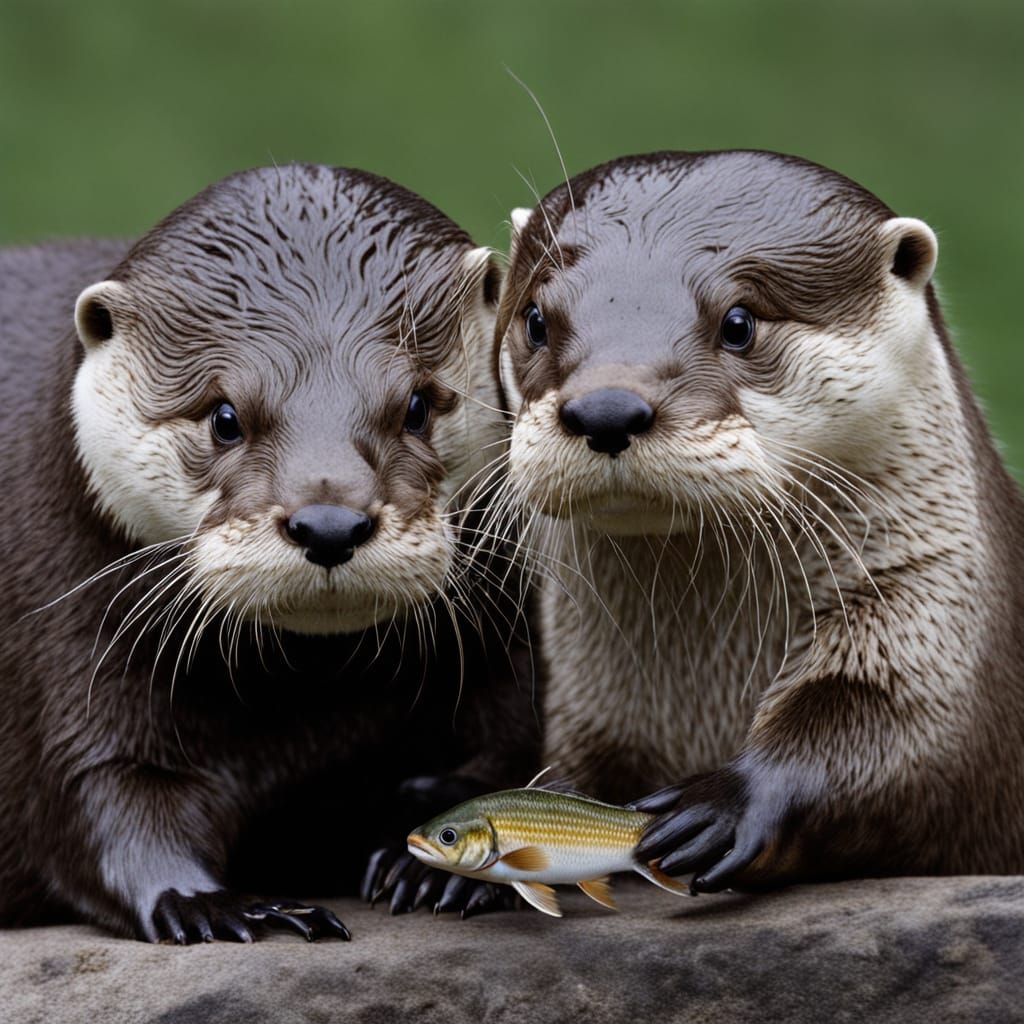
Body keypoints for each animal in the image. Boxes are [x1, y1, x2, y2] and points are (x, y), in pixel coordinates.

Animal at [0, 164, 538, 943]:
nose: (329, 523)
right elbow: (105, 803)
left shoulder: (508, 621)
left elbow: (518, 742)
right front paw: (230, 905)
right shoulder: (64, 633)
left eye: (416, 405)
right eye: (224, 417)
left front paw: (443, 857)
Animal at [494, 150, 1024, 889]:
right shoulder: (583, 705)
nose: (606, 408)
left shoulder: (932, 622)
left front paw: (719, 808)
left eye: (739, 322)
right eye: (537, 319)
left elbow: (901, 741)